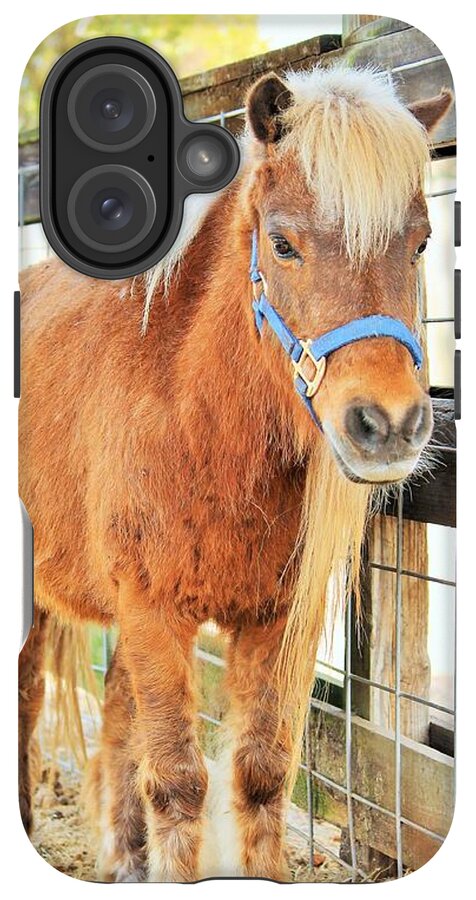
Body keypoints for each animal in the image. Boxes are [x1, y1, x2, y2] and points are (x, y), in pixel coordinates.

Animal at [18, 64, 452, 882]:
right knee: (30, 689)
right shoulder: (153, 610)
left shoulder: (275, 621)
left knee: (115, 717)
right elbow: (178, 782)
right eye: (281, 244)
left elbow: (259, 773)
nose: (388, 426)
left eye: (420, 242)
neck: (197, 419)